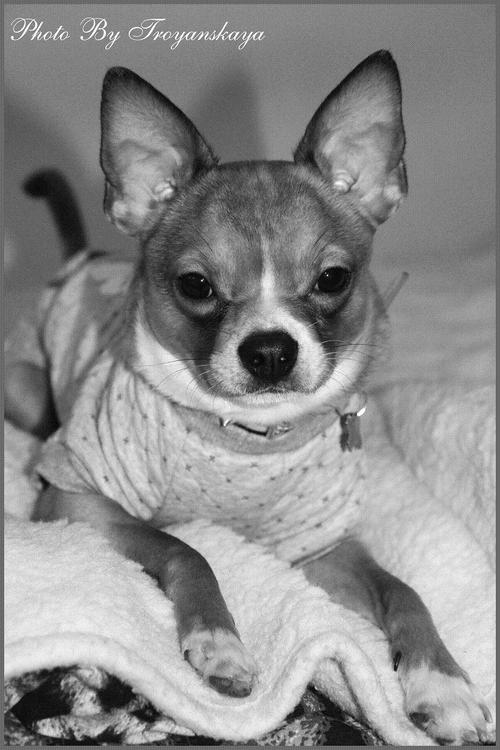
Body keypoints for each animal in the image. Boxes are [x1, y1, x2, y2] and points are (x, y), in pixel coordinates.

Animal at [5, 51, 491, 743]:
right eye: (196, 285)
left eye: (333, 278)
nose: (268, 351)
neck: (246, 442)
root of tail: (83, 256)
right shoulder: (76, 501)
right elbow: (184, 548)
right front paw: (219, 642)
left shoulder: (323, 550)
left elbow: (404, 591)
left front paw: (441, 680)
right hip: (25, 392)